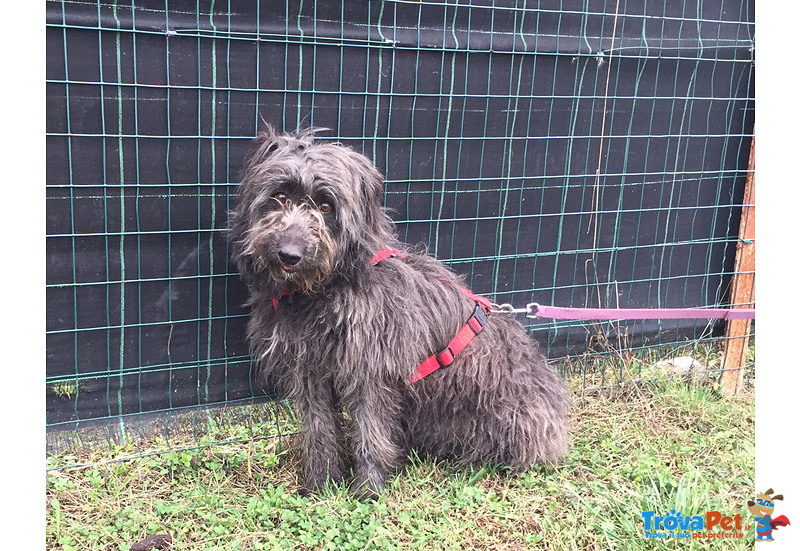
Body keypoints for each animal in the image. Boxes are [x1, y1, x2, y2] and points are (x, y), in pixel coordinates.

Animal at [228, 127, 572, 498]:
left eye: (325, 205)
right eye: (279, 196)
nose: (288, 254)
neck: (322, 291)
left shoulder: (371, 372)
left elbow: (370, 432)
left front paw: (368, 489)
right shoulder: (307, 371)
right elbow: (318, 430)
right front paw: (321, 484)